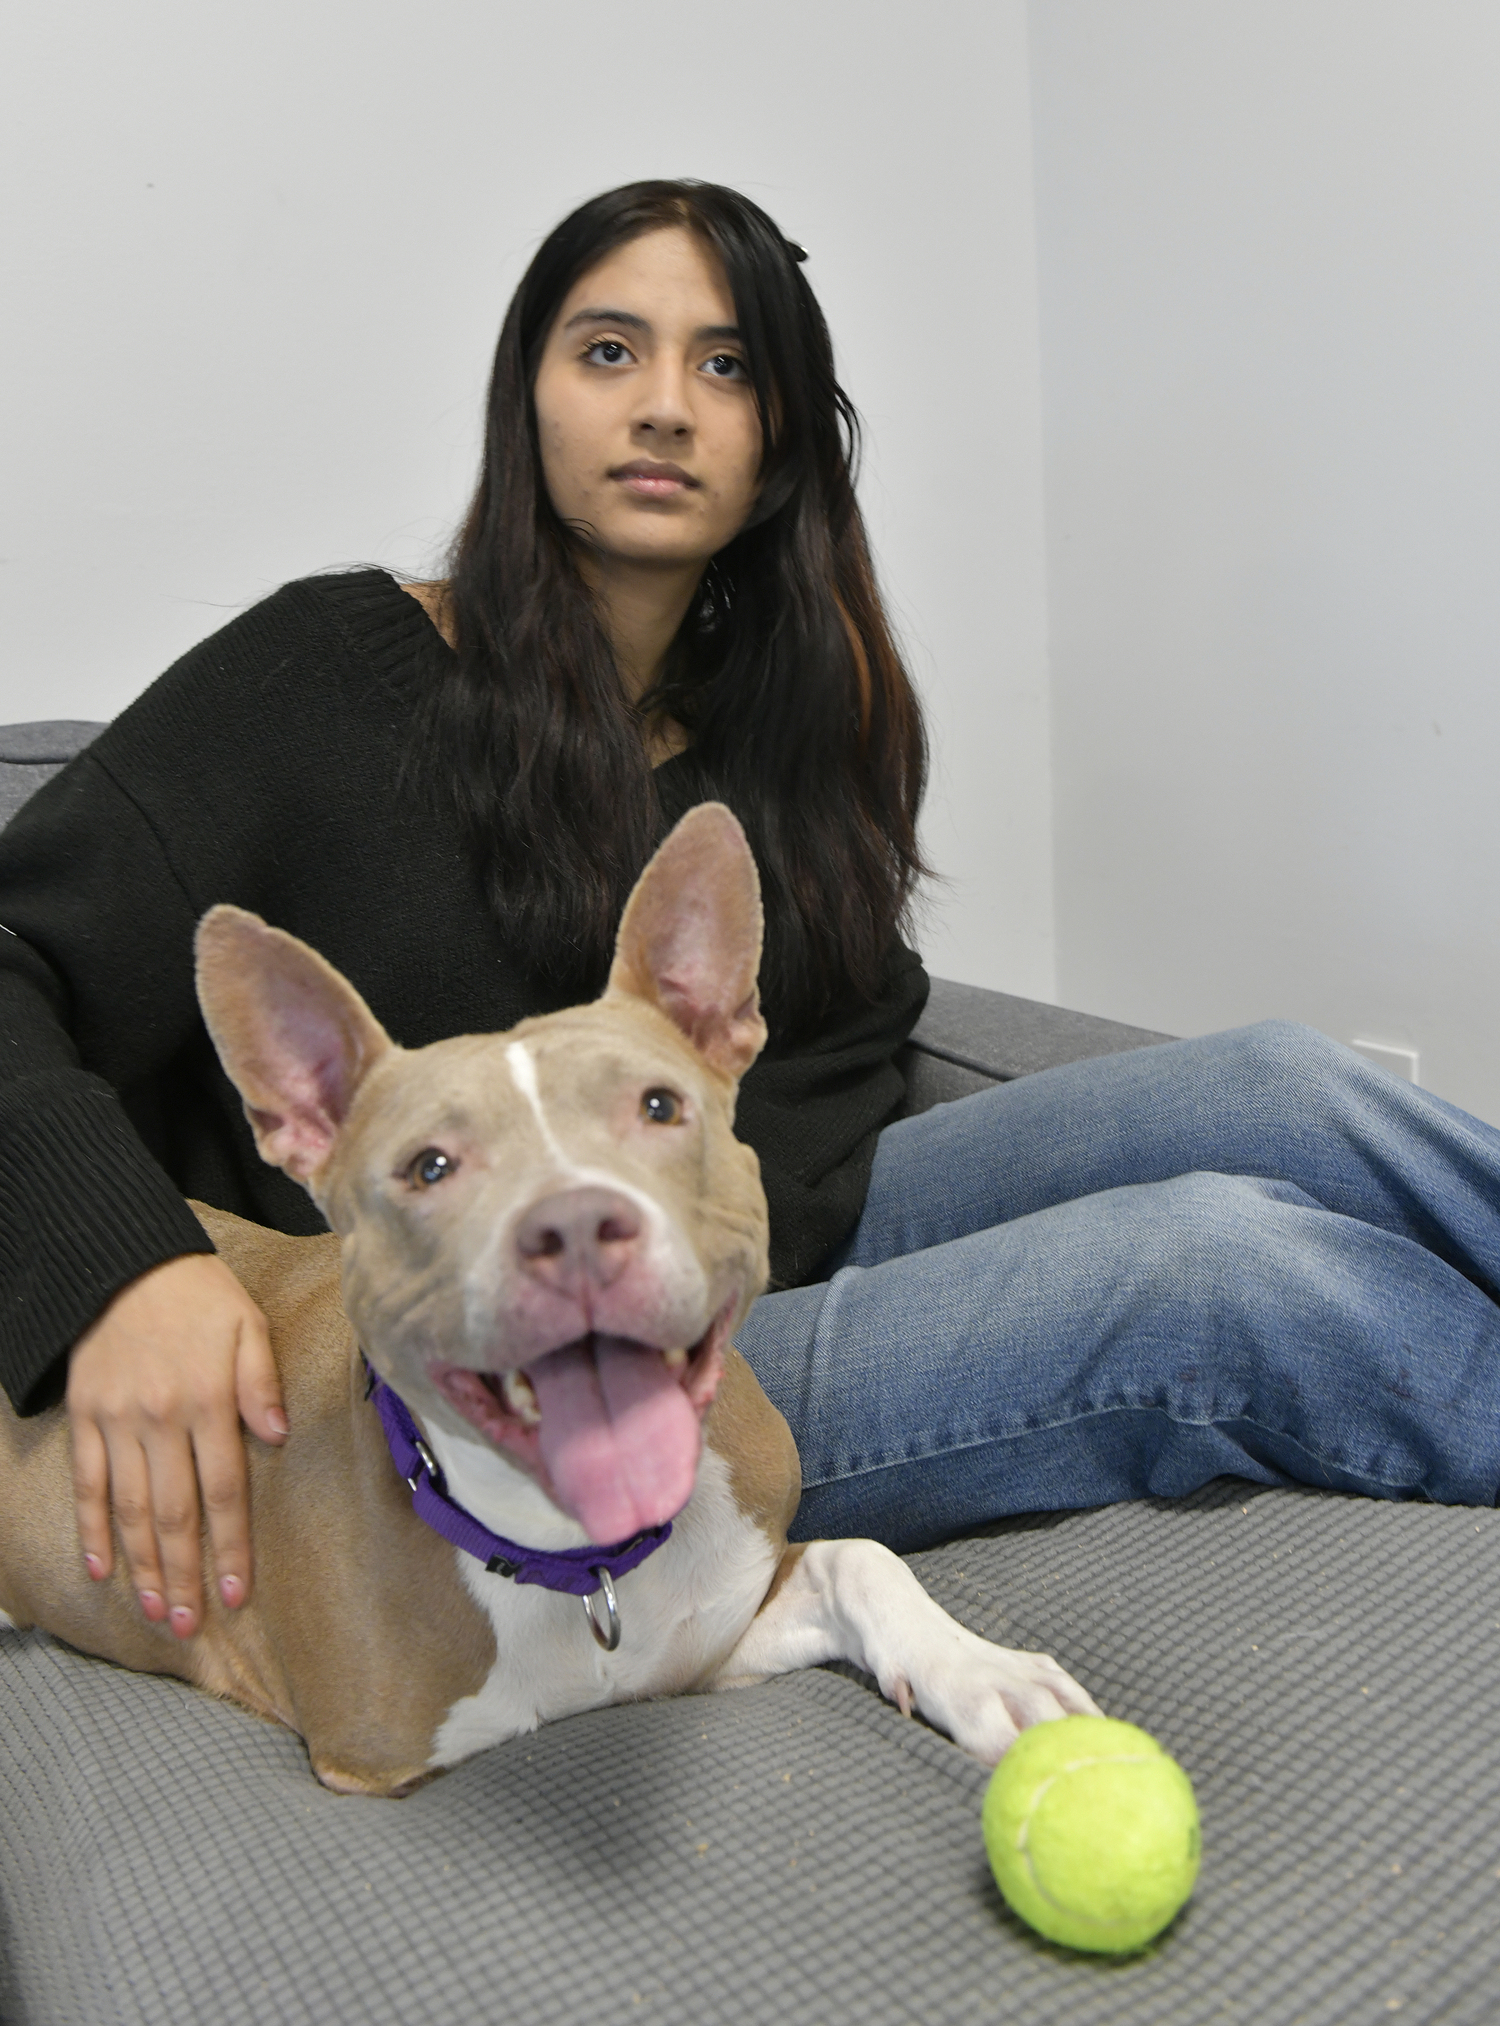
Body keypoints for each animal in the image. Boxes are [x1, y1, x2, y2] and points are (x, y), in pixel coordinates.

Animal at [0, 806, 1094, 1790]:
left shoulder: (712, 1628)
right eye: (429, 1167)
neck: (586, 1562)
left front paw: (982, 1674)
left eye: (659, 1105)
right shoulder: (386, 1754)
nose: (571, 1225)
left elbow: (860, 1557)